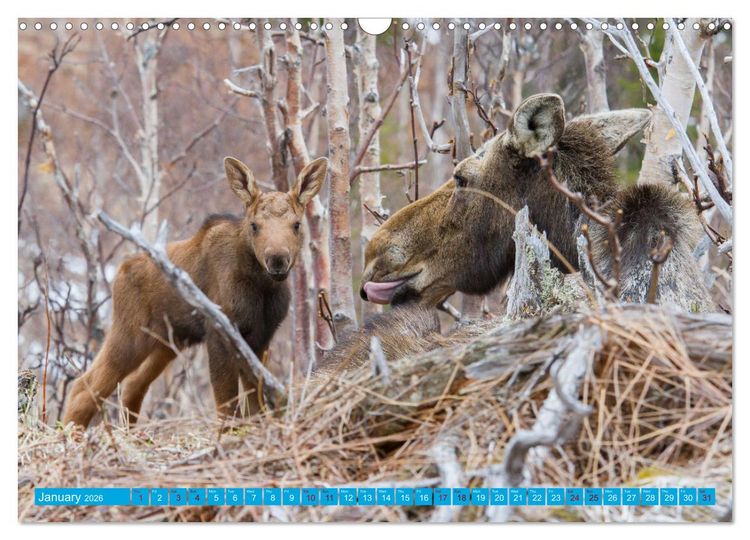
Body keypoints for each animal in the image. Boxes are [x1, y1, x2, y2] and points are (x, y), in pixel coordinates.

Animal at [63, 156, 328, 428]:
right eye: (254, 225)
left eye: (296, 224)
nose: (277, 259)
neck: (262, 288)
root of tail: (120, 271)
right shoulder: (220, 332)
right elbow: (227, 405)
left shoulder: (261, 336)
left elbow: (255, 402)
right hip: (130, 335)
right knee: (84, 386)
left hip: (166, 342)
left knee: (132, 384)